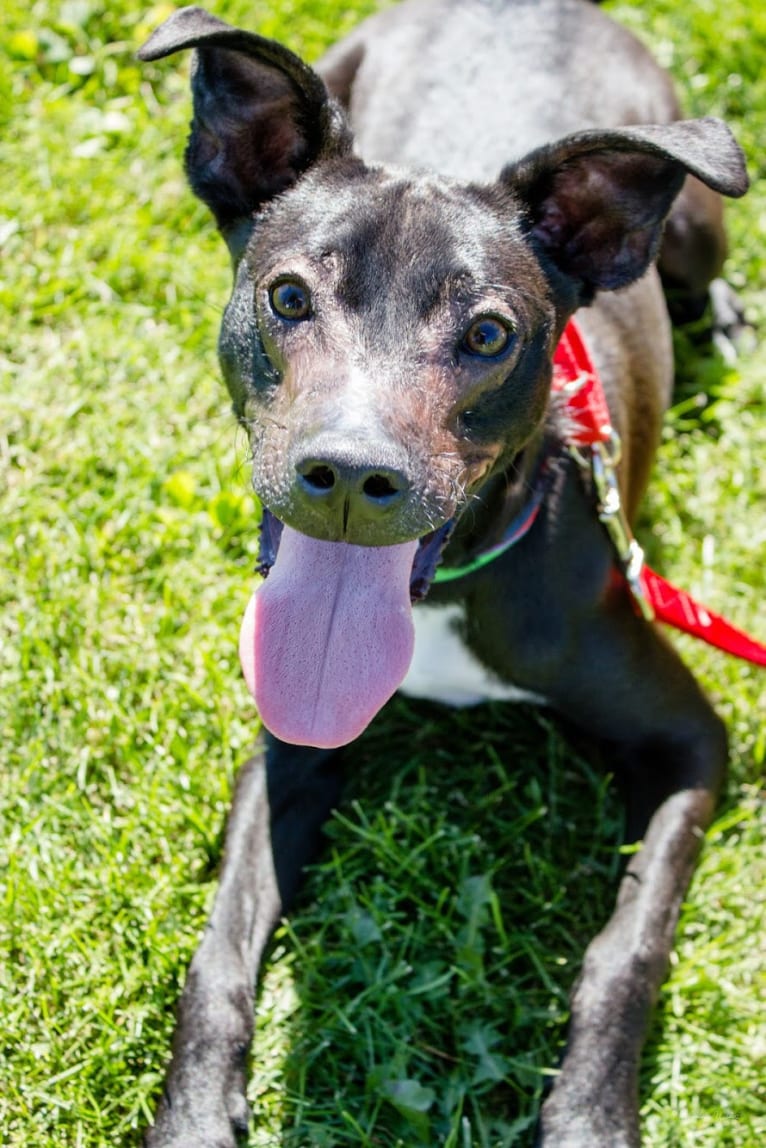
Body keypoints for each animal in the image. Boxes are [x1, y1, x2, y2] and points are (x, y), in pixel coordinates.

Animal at [137, 2, 748, 1148]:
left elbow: (628, 946)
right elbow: (221, 946)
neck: (442, 592)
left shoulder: (693, 742)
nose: (348, 475)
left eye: (488, 333)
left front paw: (590, 1113)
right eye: (289, 295)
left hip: (696, 218)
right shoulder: (290, 744)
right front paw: (192, 1111)